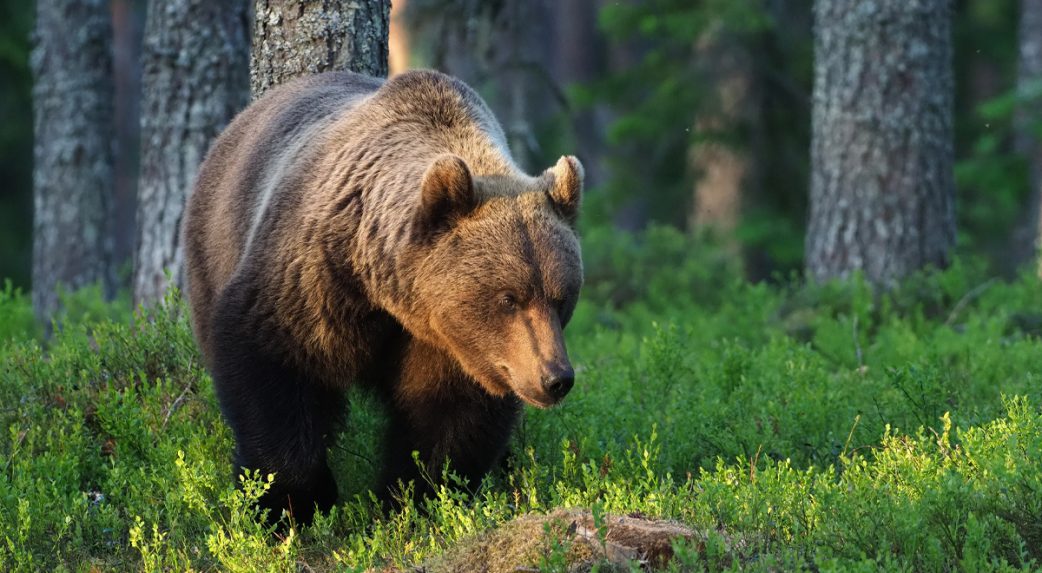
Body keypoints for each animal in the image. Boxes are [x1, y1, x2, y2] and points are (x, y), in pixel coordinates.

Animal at [182, 70, 583, 525]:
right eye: (509, 298)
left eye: (561, 297)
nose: (555, 378)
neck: (388, 292)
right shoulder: (311, 280)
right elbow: (272, 367)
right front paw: (291, 500)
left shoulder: (451, 343)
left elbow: (447, 416)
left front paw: (412, 498)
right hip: (213, 251)